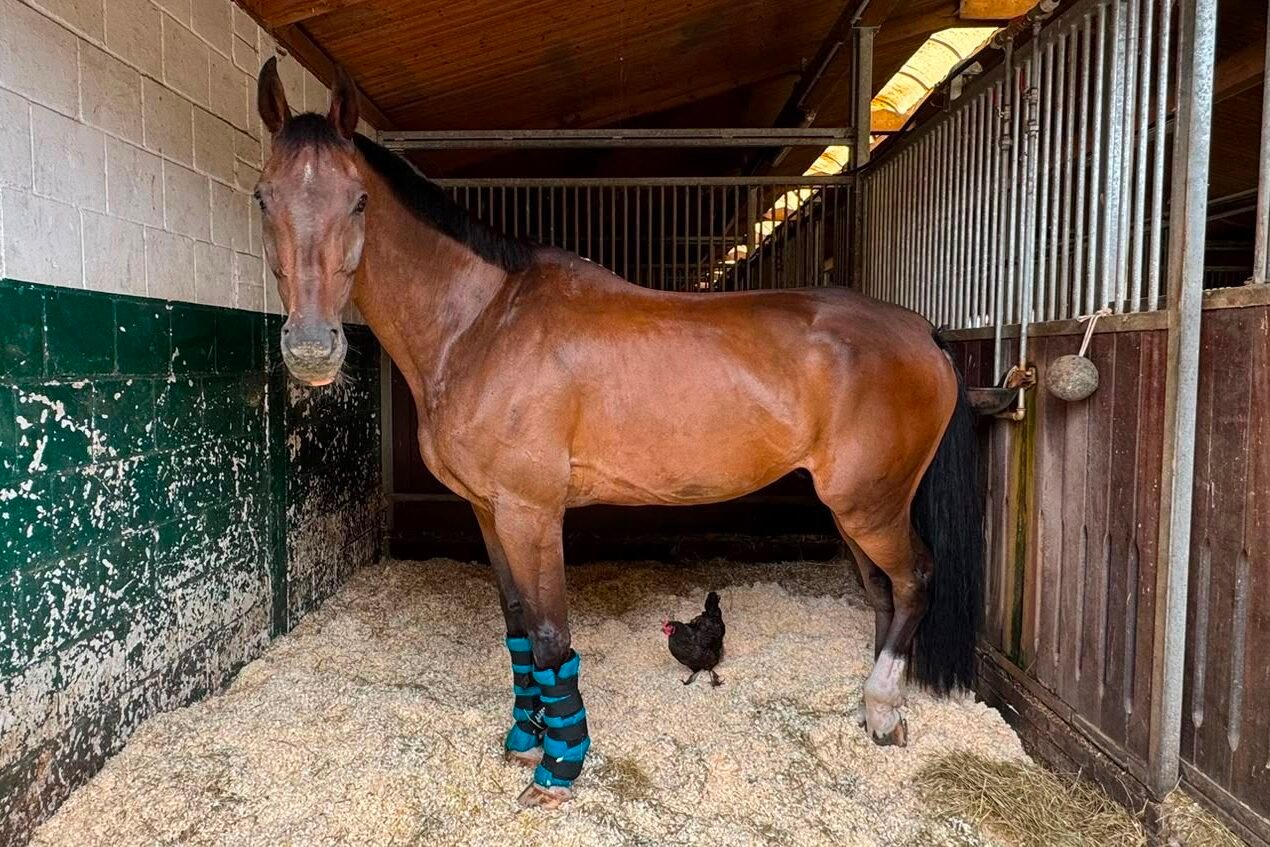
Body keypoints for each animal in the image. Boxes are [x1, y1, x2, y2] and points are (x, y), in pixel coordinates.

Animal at [253, 58, 983, 809]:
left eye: (358, 201)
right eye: (262, 197)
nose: (311, 349)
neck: (483, 323)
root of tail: (920, 330)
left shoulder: (532, 513)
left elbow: (549, 637)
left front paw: (558, 768)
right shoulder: (489, 511)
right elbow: (517, 625)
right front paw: (525, 739)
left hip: (871, 504)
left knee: (914, 580)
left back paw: (884, 709)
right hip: (856, 508)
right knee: (882, 591)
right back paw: (873, 708)